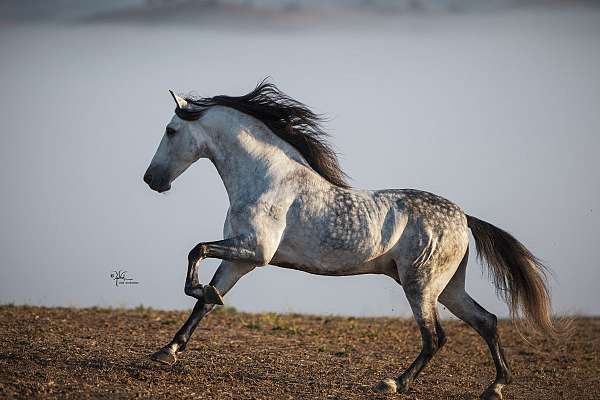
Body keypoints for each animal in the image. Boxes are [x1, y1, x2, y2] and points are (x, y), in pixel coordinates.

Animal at [143, 79, 556, 398]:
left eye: (170, 130)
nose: (151, 179)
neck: (268, 177)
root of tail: (463, 217)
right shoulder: (240, 259)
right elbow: (204, 303)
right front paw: (168, 350)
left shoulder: (255, 251)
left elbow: (196, 252)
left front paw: (198, 300)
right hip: (448, 287)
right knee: (486, 321)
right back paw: (495, 387)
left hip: (420, 285)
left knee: (435, 337)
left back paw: (395, 383)